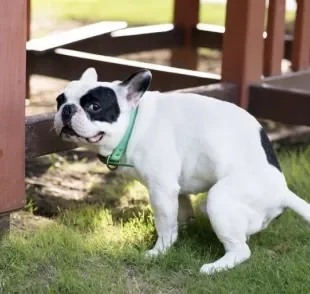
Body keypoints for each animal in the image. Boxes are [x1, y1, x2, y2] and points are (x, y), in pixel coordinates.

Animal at [53, 68, 310, 274]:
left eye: (94, 107)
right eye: (59, 101)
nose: (67, 109)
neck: (135, 123)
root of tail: (282, 191)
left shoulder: (161, 189)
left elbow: (165, 223)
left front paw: (160, 249)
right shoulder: (175, 187)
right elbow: (182, 207)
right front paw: (183, 228)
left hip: (220, 199)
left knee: (241, 250)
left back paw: (216, 267)